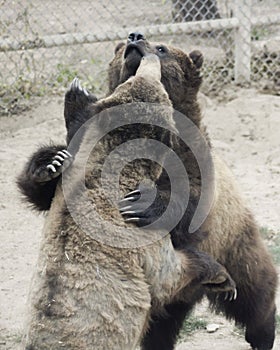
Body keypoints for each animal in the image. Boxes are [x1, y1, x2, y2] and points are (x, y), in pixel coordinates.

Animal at [18, 32, 278, 350]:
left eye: (162, 47)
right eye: (119, 46)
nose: (135, 37)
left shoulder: (194, 164)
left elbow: (190, 203)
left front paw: (141, 204)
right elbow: (51, 184)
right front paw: (50, 161)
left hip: (233, 239)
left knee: (253, 289)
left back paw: (262, 331)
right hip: (168, 302)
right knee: (161, 326)